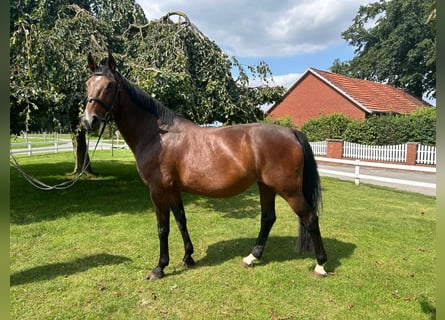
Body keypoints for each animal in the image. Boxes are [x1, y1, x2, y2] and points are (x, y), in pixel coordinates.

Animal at [81, 53, 328, 280]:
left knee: (310, 218)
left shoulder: (158, 191)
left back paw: (321, 266)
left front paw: (159, 268)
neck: (157, 136)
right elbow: (181, 221)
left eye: (110, 85)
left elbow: (163, 228)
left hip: (289, 190)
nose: (88, 121)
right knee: (268, 218)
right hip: (265, 186)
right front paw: (187, 257)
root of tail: (291, 132)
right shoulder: (172, 190)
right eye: (87, 84)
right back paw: (251, 257)